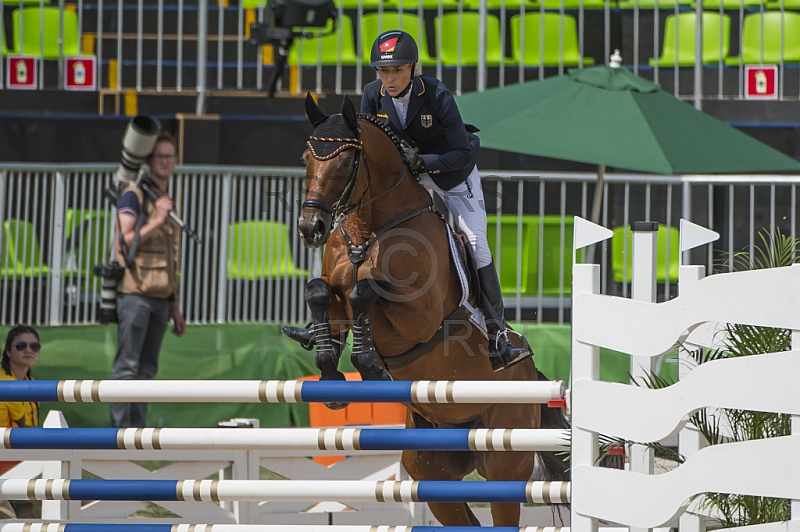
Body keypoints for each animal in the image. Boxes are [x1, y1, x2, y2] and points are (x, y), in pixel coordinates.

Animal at [290, 93, 564, 524]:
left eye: (347, 162)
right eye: (306, 156)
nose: (310, 228)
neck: (370, 230)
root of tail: (532, 375)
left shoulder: (420, 318)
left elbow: (365, 292)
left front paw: (369, 366)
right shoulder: (333, 291)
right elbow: (319, 291)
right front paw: (330, 369)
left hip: (504, 462)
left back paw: (505, 346)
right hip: (431, 469)